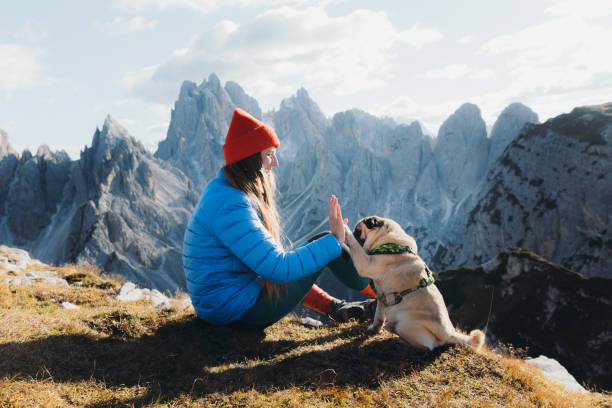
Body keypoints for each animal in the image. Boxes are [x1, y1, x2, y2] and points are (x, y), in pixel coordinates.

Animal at [344, 217, 482, 350]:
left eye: (358, 231)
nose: (354, 232)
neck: (389, 242)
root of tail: (449, 334)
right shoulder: (382, 297)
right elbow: (378, 316)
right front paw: (374, 329)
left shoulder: (366, 263)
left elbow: (355, 246)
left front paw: (345, 229)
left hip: (404, 324)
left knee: (427, 346)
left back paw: (400, 339)